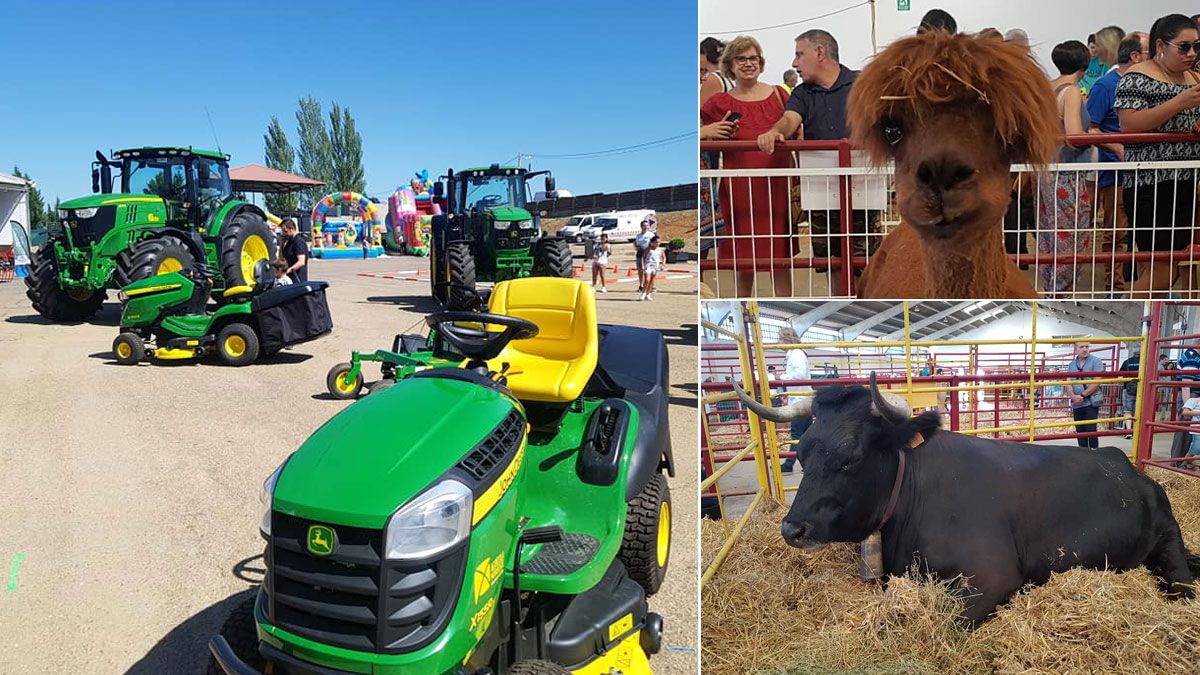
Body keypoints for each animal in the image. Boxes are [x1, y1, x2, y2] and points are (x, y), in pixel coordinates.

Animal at [729, 374, 1200, 624]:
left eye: (852, 458)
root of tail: (1125, 464)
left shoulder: (993, 578)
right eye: (802, 452)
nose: (792, 527)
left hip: (1168, 541)